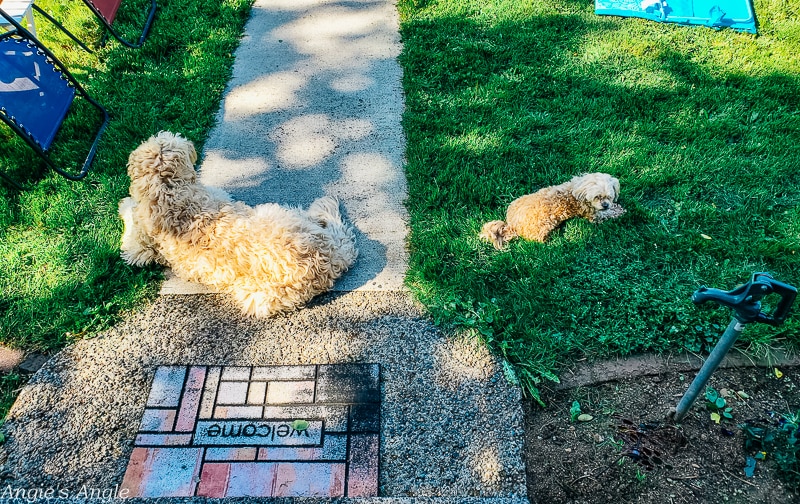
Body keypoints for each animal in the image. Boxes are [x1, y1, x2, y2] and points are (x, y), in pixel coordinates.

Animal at [117, 132, 358, 316]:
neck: (168, 191)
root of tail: (328, 259)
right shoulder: (138, 248)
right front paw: (126, 203)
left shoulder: (139, 248)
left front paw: (125, 203)